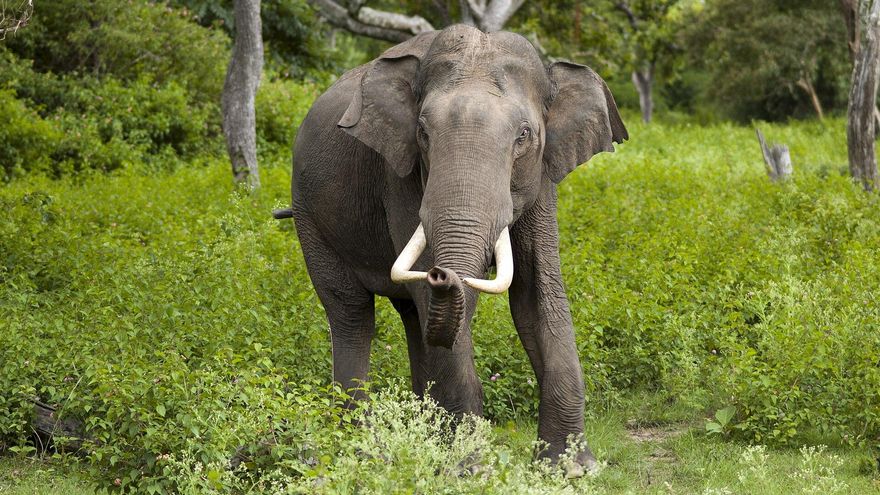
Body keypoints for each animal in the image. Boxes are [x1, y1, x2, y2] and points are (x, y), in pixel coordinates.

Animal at [277, 24, 627, 471]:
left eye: (524, 136)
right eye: (423, 133)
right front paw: (469, 468)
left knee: (412, 316)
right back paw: (361, 446)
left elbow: (536, 294)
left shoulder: (543, 176)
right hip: (309, 214)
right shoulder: (400, 174)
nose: (442, 273)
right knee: (352, 312)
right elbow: (441, 301)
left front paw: (572, 469)